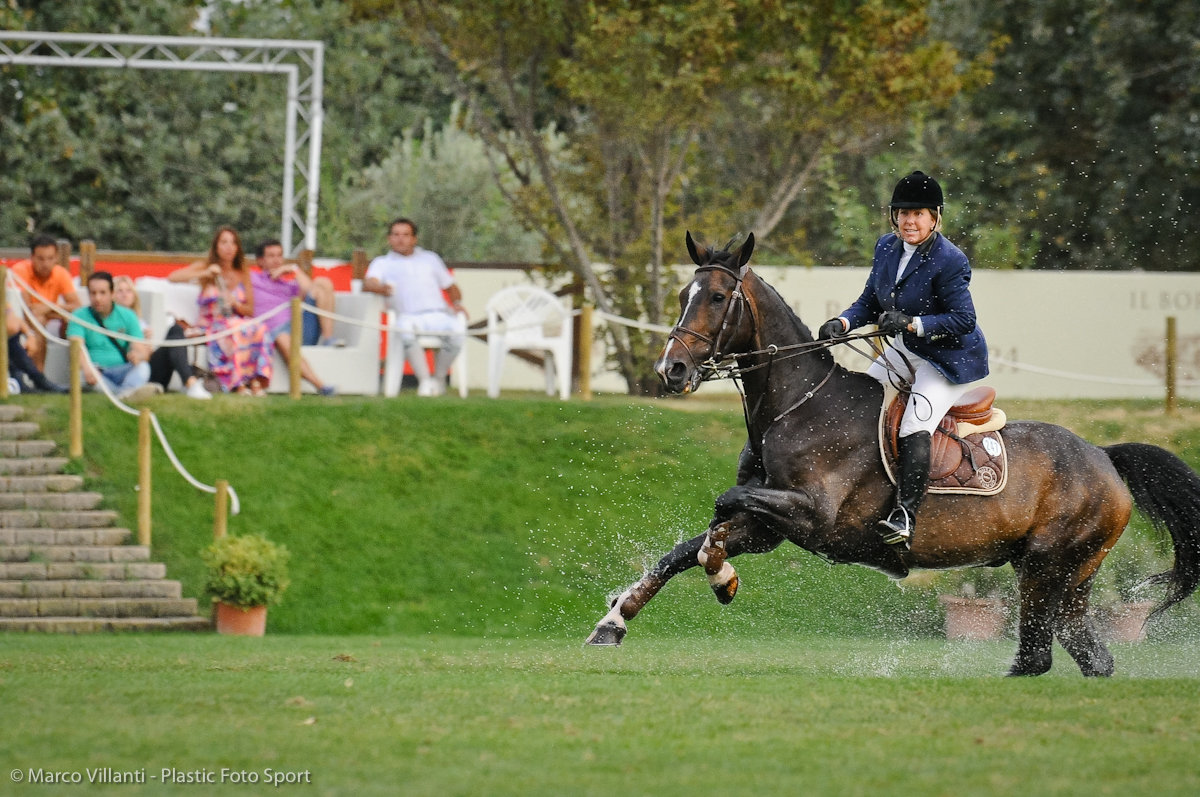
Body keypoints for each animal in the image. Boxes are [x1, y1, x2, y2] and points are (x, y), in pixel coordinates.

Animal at [585, 226, 1200, 676]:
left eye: (716, 297)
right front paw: (615, 621)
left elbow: (720, 511)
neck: (797, 408)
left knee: (1041, 654)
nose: (671, 370)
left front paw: (722, 578)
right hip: (1062, 576)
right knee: (1083, 654)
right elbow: (687, 547)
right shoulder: (770, 525)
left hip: (1052, 566)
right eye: (683, 296)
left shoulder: (810, 514)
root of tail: (1104, 457)